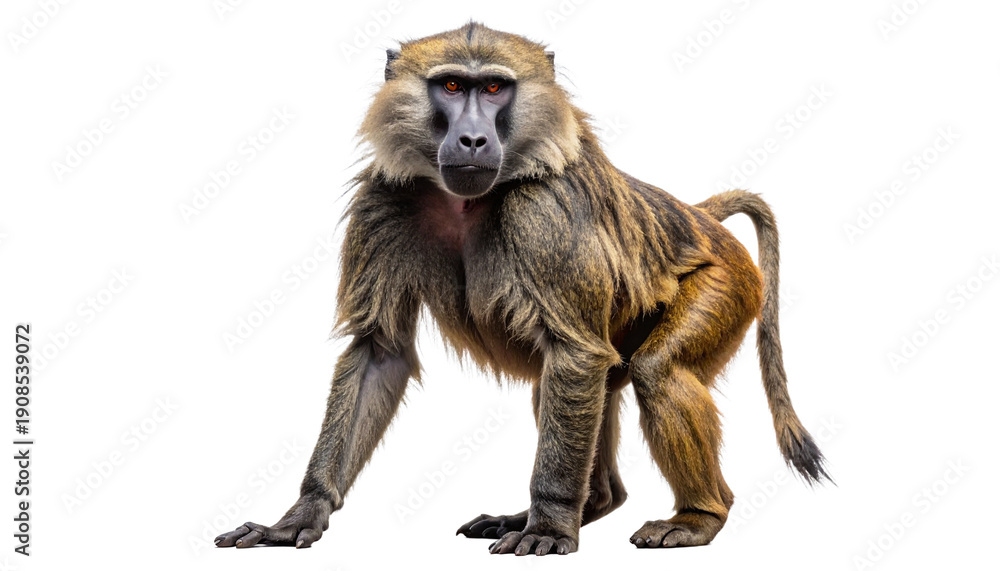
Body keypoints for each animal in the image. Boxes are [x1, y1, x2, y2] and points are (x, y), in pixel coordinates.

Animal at [214, 22, 829, 556]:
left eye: (493, 88)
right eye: (452, 85)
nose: (471, 139)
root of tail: (698, 218)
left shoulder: (543, 212)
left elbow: (576, 352)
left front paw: (551, 529)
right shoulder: (383, 202)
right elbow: (379, 353)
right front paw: (301, 513)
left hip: (727, 281)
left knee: (656, 372)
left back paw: (697, 516)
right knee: (575, 387)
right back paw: (585, 503)